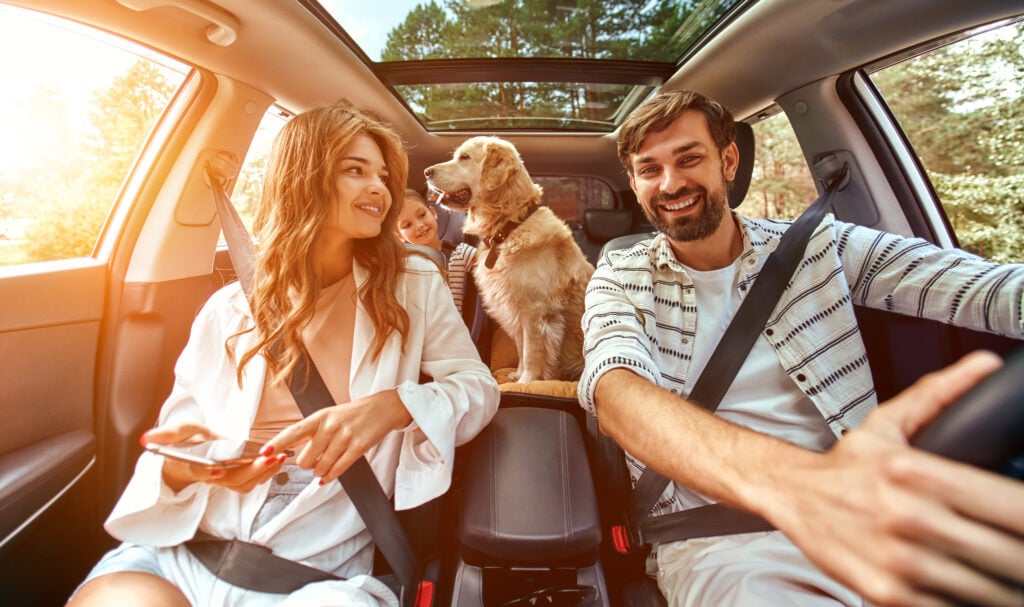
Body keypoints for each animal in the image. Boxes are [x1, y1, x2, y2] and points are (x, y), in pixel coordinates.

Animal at [421, 138, 593, 382]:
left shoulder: (534, 311)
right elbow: (521, 347)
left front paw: (527, 381)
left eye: (464, 157)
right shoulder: (512, 306)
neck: (509, 227)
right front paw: (517, 374)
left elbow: (531, 352)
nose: (426, 172)